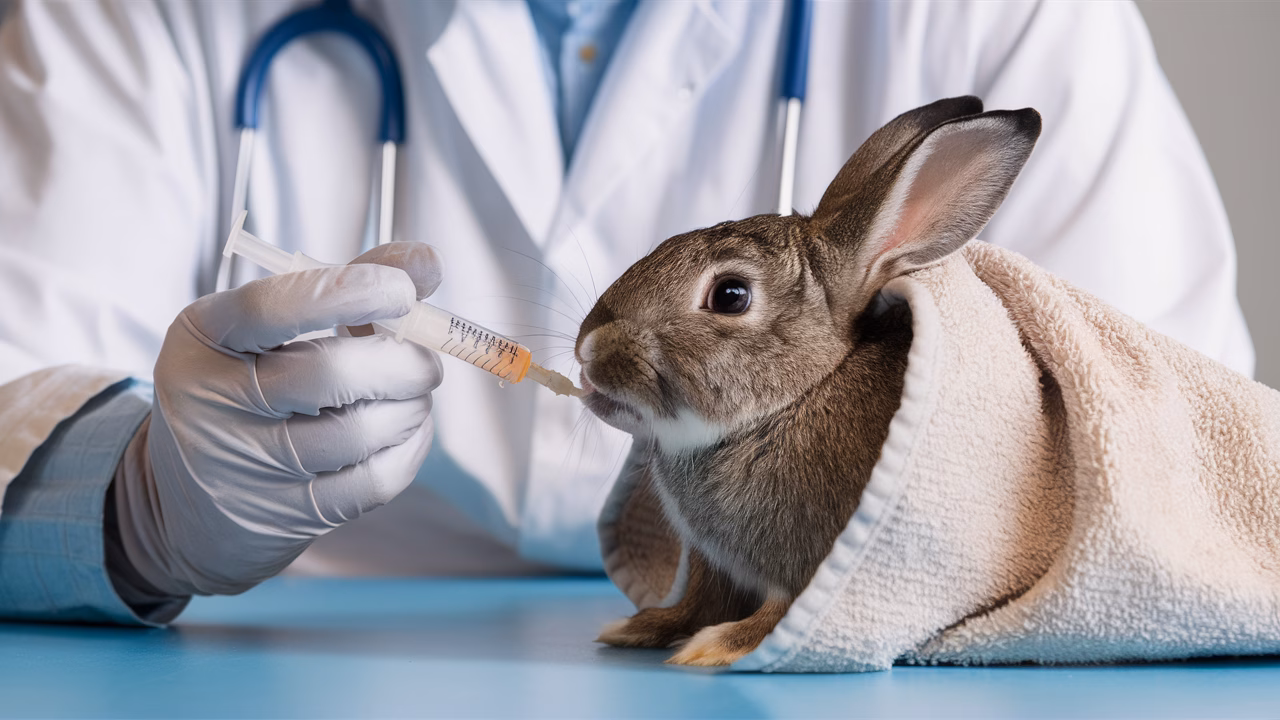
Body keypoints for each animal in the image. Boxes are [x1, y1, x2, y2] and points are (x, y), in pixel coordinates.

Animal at [574, 96, 1042, 666]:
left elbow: (781, 617)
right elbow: (699, 601)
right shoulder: (718, 568)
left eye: (730, 295)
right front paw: (640, 627)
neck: (796, 398)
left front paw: (714, 649)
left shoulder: (822, 567)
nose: (587, 352)